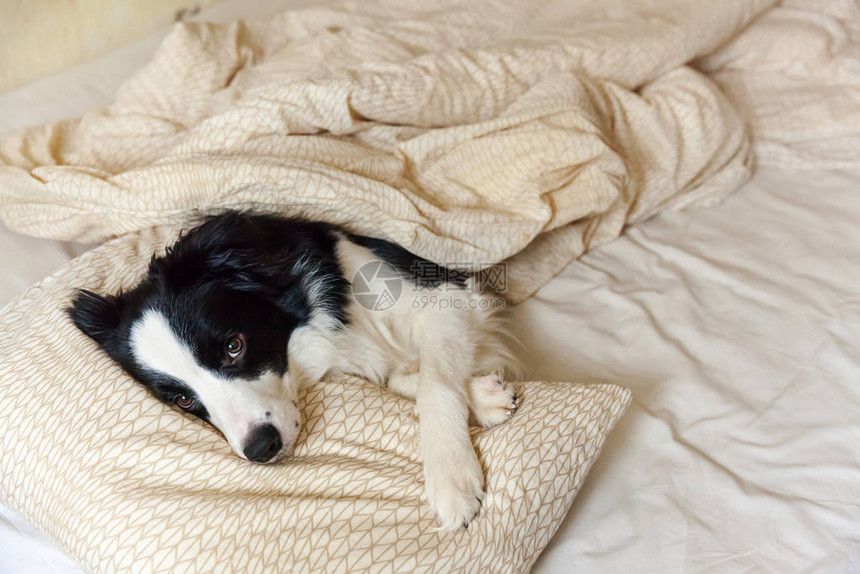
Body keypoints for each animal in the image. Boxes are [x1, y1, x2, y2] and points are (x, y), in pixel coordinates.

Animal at [69, 212, 516, 532]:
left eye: (234, 346)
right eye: (182, 400)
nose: (260, 449)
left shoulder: (443, 298)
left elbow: (435, 382)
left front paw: (452, 478)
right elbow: (404, 377)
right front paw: (485, 397)